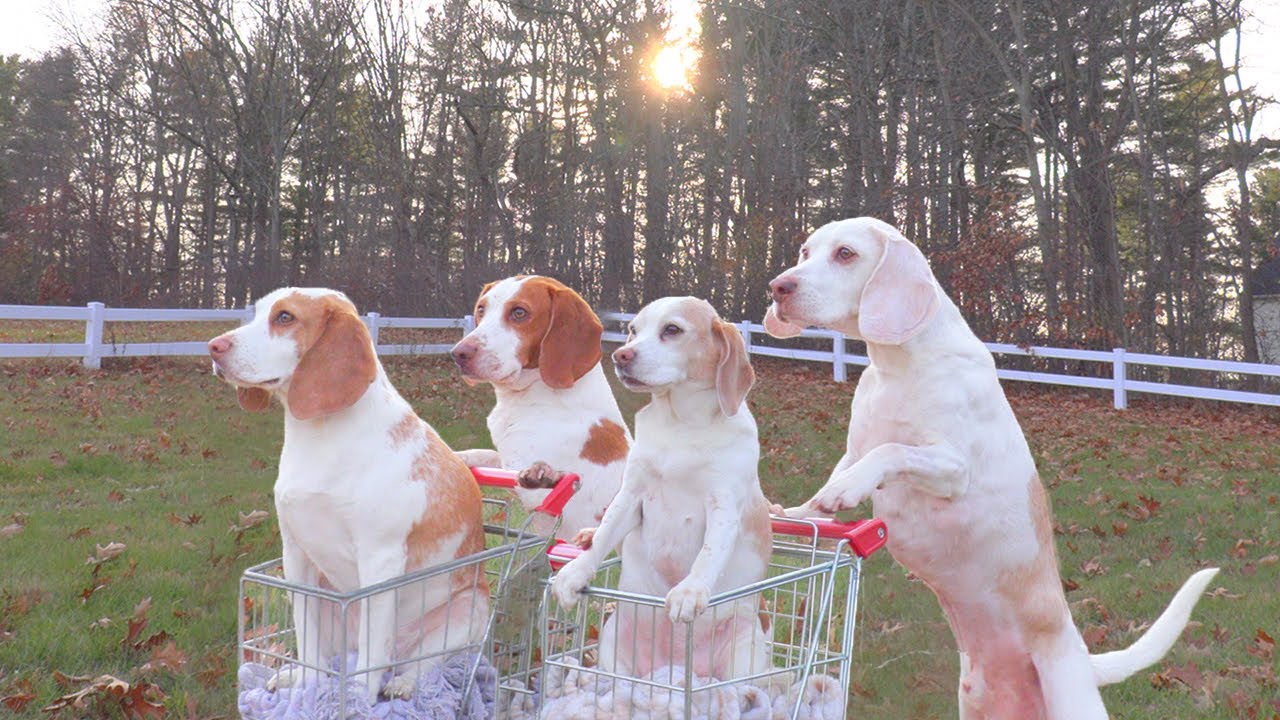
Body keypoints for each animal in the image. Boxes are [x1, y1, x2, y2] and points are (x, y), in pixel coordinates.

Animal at [209, 286, 488, 702]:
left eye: (285, 317)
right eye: (256, 313)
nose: (213, 346)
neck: (321, 438)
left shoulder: (380, 560)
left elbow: (371, 660)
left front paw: (357, 698)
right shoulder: (296, 555)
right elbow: (309, 646)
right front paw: (306, 689)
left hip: (471, 610)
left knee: (419, 664)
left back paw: (404, 683)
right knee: (334, 656)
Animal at [450, 274, 629, 538]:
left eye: (519, 312)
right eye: (481, 309)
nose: (458, 353)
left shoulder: (529, 488)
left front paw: (544, 474)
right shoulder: (505, 460)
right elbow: (483, 453)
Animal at [757, 217, 1218, 717]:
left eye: (845, 254)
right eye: (806, 251)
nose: (778, 286)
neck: (898, 367)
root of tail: (1081, 654)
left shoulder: (951, 468)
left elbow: (891, 452)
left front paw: (847, 490)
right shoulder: (853, 449)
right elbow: (825, 492)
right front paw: (792, 512)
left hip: (1073, 701)